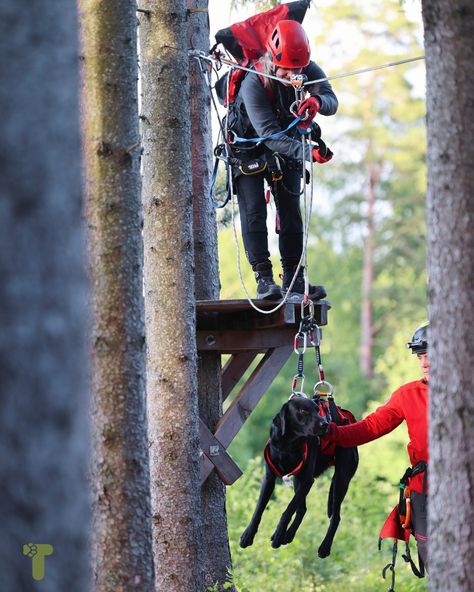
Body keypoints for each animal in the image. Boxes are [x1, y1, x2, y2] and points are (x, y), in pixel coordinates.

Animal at [241, 396, 360, 556]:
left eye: (317, 410)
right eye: (303, 411)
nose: (325, 425)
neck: (287, 445)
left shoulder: (307, 481)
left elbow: (288, 510)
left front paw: (278, 534)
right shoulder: (269, 479)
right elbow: (259, 508)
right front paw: (248, 535)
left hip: (341, 480)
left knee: (335, 517)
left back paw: (324, 547)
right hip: (298, 480)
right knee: (302, 510)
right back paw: (289, 535)